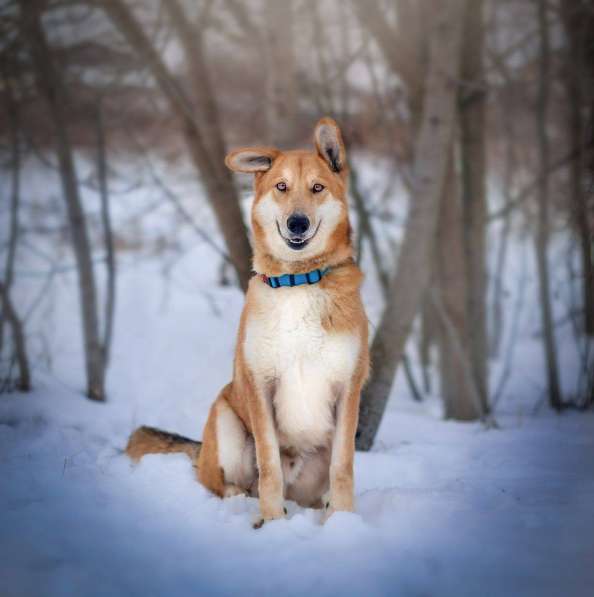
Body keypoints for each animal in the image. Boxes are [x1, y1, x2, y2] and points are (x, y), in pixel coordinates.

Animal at [126, 117, 368, 528]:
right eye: (281, 187)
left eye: (317, 188)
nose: (297, 223)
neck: (298, 281)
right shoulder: (261, 385)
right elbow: (269, 466)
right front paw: (272, 523)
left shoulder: (347, 389)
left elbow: (344, 468)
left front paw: (343, 522)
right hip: (225, 419)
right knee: (223, 483)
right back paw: (245, 504)